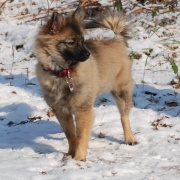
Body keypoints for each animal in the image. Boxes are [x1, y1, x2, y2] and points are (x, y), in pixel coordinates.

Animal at [34, 6, 137, 160]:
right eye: (71, 42)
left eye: (82, 40)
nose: (88, 54)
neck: (63, 72)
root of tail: (117, 40)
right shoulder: (61, 111)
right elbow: (71, 135)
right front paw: (70, 154)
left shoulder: (82, 109)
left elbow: (81, 135)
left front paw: (79, 158)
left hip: (122, 92)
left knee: (124, 117)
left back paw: (129, 138)